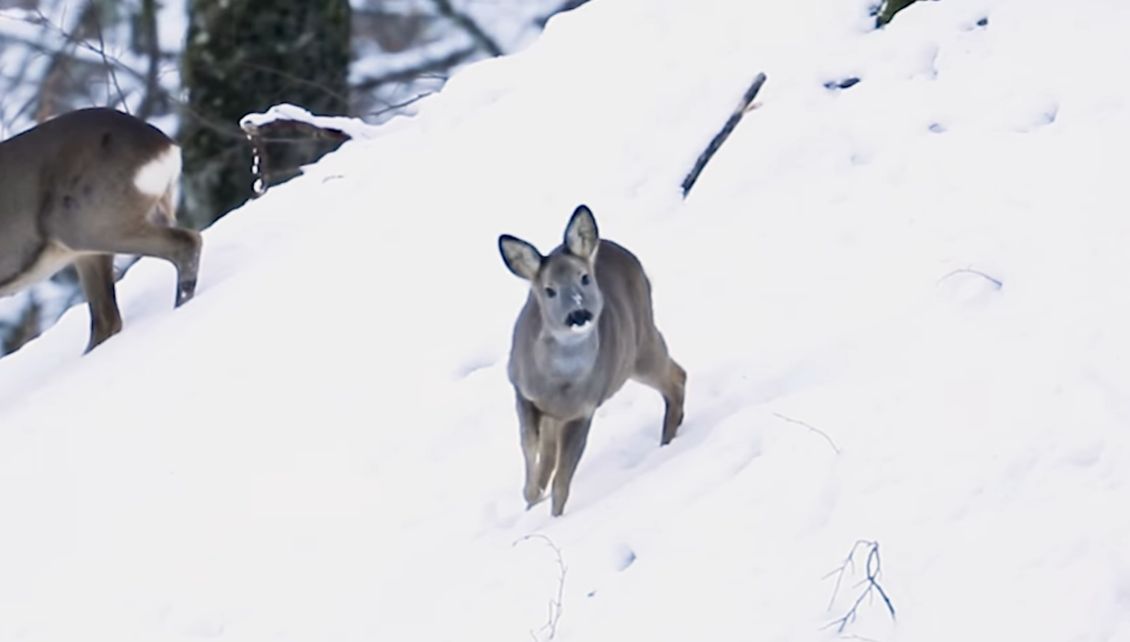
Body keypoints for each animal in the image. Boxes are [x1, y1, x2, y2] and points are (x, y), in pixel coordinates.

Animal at [499, 205, 682, 517]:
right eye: (549, 290)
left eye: (584, 277)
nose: (578, 314)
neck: (559, 383)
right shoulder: (522, 390)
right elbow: (531, 451)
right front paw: (531, 499)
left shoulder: (584, 409)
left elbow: (562, 481)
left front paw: (555, 517)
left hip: (639, 345)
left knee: (677, 376)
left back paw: (668, 438)